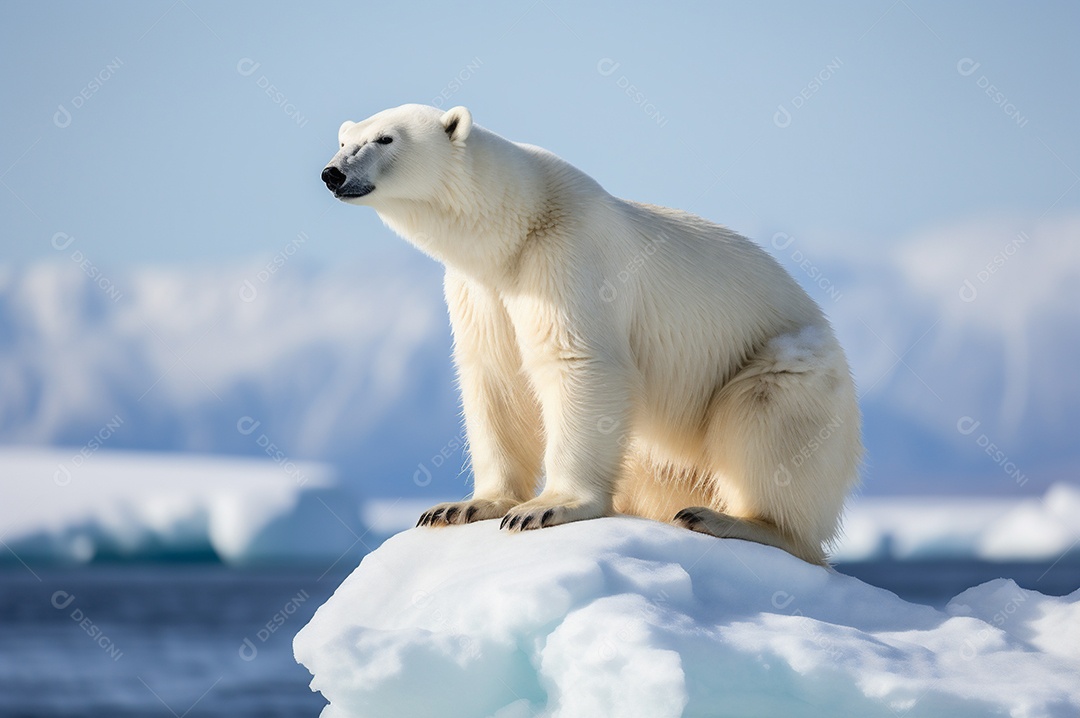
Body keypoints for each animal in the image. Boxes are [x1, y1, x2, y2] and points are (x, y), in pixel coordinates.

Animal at [317, 103, 859, 561]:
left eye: (384, 138)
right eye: (344, 141)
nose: (332, 173)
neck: (516, 227)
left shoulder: (569, 256)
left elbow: (579, 364)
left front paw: (545, 507)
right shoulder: (481, 290)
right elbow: (496, 378)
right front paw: (461, 506)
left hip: (788, 370)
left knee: (768, 414)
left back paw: (730, 519)